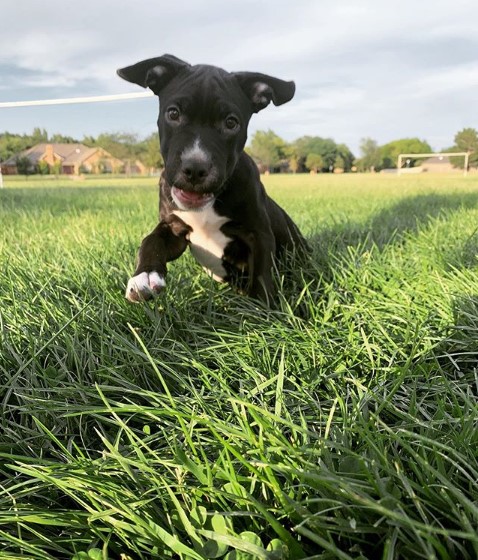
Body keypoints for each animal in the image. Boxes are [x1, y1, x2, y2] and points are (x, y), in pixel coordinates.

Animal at [117, 54, 308, 304]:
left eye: (231, 122)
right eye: (173, 114)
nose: (195, 168)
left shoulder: (259, 234)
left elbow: (261, 277)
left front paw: (266, 310)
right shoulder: (174, 228)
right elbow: (150, 240)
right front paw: (144, 276)